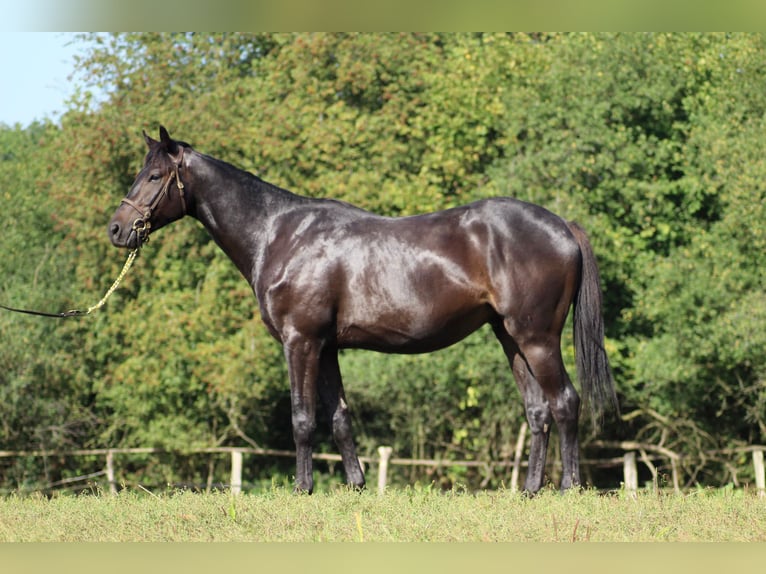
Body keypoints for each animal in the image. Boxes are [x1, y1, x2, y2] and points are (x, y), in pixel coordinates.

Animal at [108, 126, 618, 494]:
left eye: (154, 176)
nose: (117, 229)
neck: (279, 234)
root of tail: (562, 225)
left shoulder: (301, 342)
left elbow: (303, 419)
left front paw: (303, 489)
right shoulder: (327, 347)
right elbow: (339, 417)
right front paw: (355, 486)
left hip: (537, 338)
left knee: (565, 402)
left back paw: (569, 488)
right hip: (510, 338)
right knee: (538, 411)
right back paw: (530, 490)